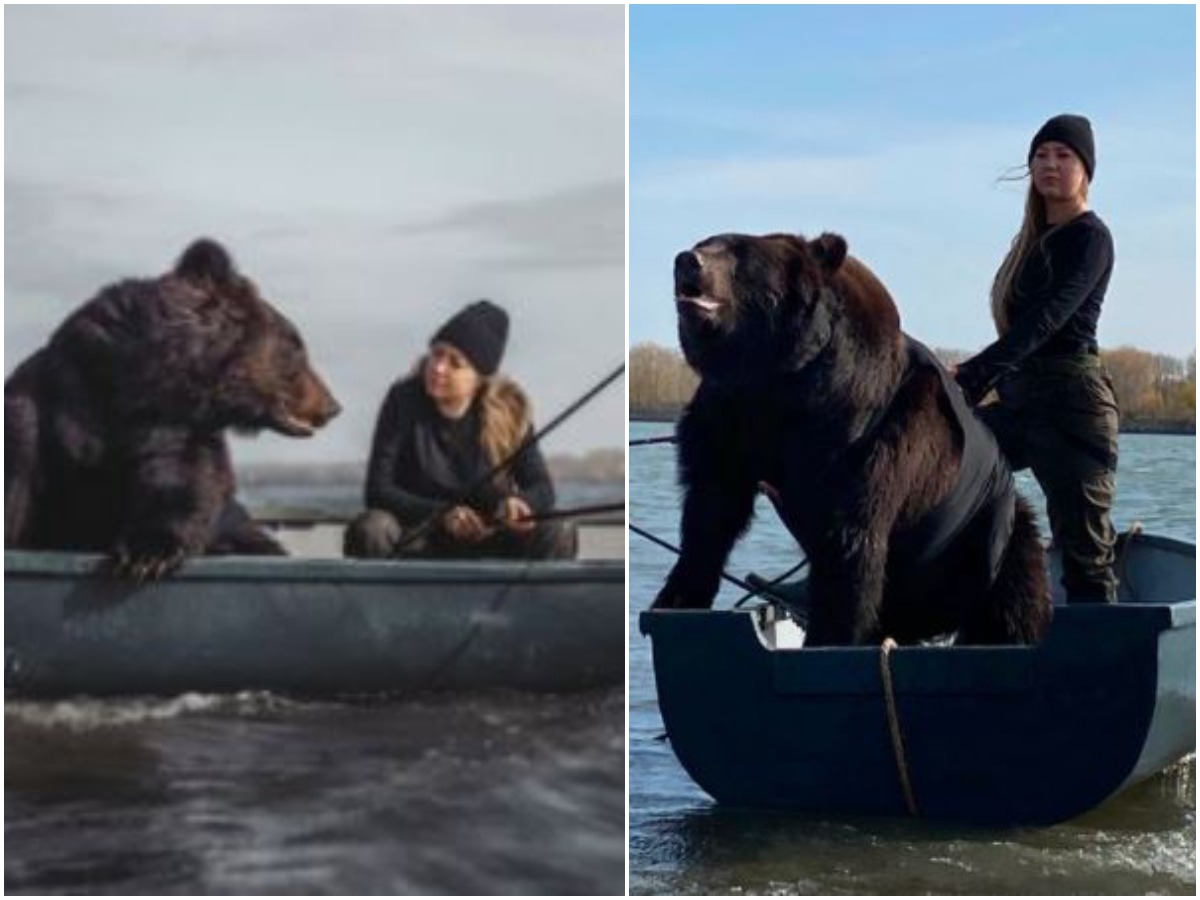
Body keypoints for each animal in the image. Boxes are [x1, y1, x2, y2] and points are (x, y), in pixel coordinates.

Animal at [5, 237, 343, 578]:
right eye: (296, 347)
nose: (333, 406)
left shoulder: (176, 428)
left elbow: (179, 482)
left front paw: (149, 554)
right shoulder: (57, 407)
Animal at [657, 229, 1051, 643]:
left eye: (740, 253)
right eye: (706, 242)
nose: (687, 260)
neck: (782, 380)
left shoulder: (874, 435)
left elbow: (851, 539)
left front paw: (830, 634)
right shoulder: (732, 417)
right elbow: (711, 507)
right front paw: (676, 599)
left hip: (990, 544)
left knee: (1011, 606)